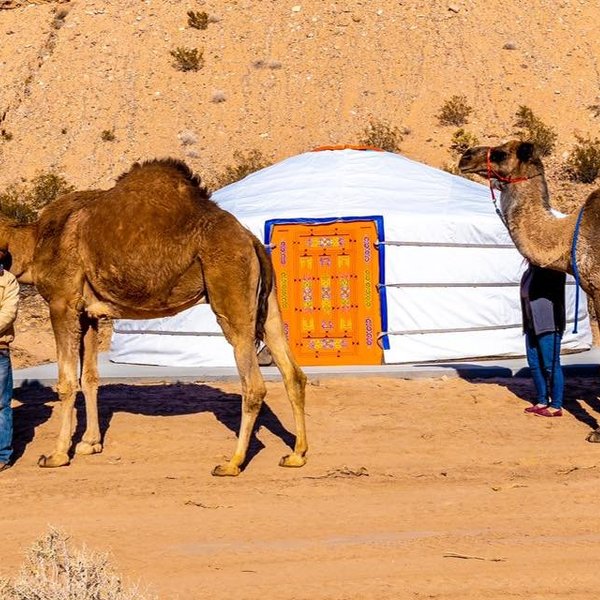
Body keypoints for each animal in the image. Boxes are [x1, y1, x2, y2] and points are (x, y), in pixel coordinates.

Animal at [1, 158, 310, 474]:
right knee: (292, 372)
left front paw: (57, 455)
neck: (32, 243)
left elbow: (66, 382)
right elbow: (89, 378)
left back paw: (232, 462)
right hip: (268, 304)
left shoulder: (61, 302)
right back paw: (296, 455)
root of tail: (251, 240)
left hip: (230, 286)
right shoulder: (88, 313)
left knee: (253, 383)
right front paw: (90, 443)